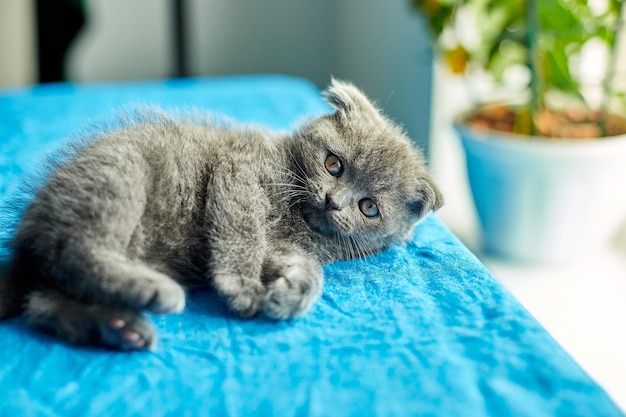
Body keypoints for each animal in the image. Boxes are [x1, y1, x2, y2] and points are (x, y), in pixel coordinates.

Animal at [0, 79, 438, 350]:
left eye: (369, 207)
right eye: (334, 164)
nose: (333, 201)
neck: (298, 217)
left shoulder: (286, 244)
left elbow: (304, 266)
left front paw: (293, 291)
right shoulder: (238, 172)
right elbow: (243, 231)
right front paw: (241, 285)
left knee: (44, 302)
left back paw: (120, 328)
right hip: (120, 176)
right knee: (76, 250)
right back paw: (153, 293)